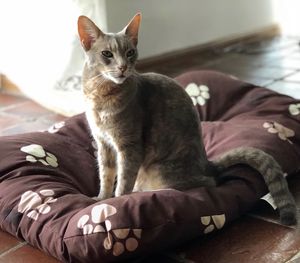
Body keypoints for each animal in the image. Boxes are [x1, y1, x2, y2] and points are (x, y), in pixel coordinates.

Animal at [78, 13, 298, 226]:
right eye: (107, 54)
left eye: (130, 52)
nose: (123, 67)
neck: (101, 95)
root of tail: (207, 164)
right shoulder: (103, 144)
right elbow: (106, 175)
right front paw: (101, 199)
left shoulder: (129, 146)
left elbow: (124, 180)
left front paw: (117, 201)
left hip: (159, 171)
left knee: (207, 183)